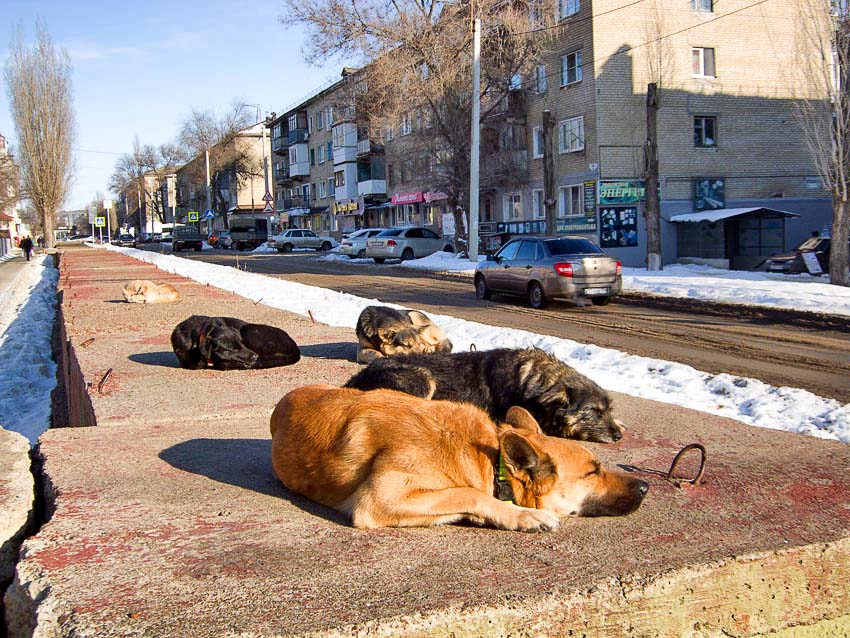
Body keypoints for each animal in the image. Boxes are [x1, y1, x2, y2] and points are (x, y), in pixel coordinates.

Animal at [268, 388, 644, 532]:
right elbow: (471, 493)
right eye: (593, 471)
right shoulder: (378, 500)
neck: (490, 461)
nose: (645, 486)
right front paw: (521, 516)